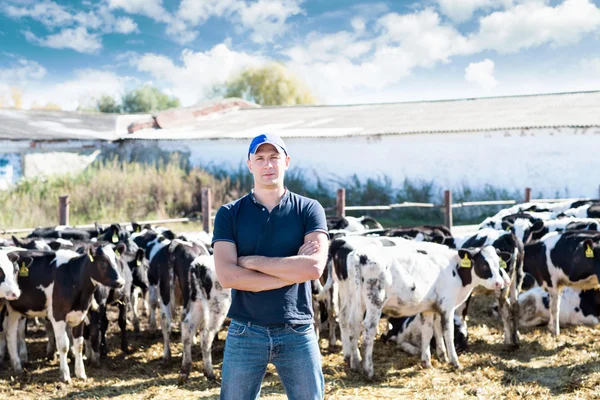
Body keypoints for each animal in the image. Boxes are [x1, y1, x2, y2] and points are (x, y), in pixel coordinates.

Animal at [4, 242, 125, 382]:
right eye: (102, 262)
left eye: (116, 260)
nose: (120, 282)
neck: (73, 276)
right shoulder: (57, 315)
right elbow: (63, 345)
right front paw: (65, 375)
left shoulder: (81, 314)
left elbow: (79, 344)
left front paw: (81, 374)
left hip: (14, 310)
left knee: (11, 334)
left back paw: (17, 366)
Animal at [338, 244, 506, 378]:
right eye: (484, 265)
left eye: (498, 263)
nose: (500, 283)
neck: (454, 269)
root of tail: (360, 253)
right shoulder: (447, 307)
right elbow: (448, 333)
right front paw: (454, 362)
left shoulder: (430, 308)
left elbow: (431, 331)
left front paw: (433, 360)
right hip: (375, 301)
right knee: (368, 330)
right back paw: (368, 370)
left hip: (354, 299)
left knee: (352, 324)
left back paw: (355, 363)